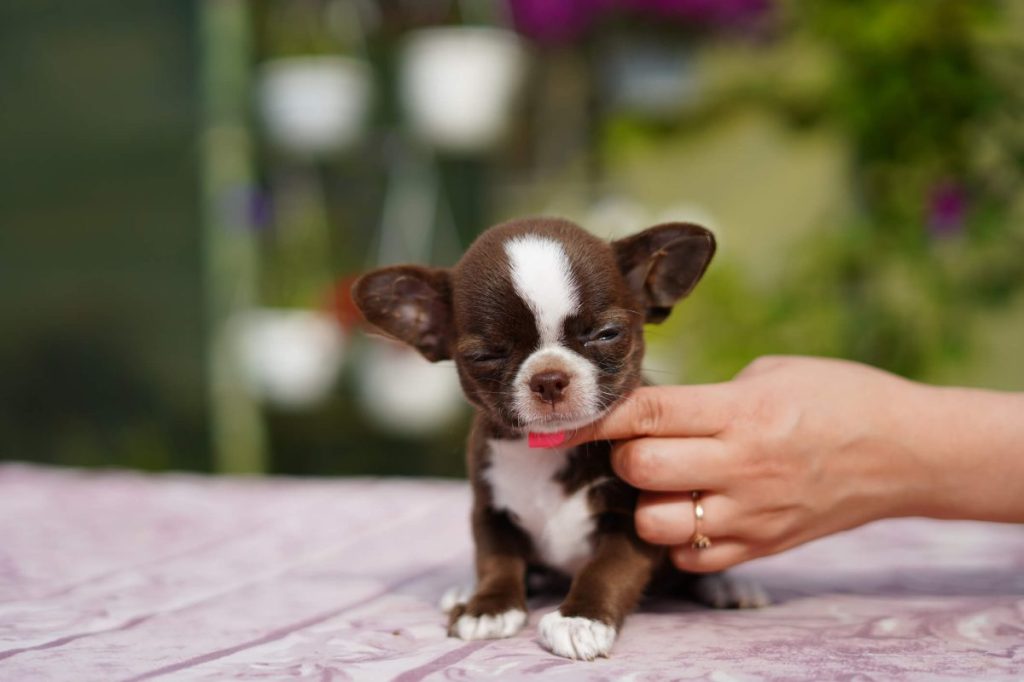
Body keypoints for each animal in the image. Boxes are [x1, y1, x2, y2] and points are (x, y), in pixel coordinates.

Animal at [350, 218, 761, 659]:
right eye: (485, 356)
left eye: (607, 334)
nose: (548, 378)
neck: (550, 449)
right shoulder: (491, 510)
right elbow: (496, 559)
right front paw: (489, 607)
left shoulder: (634, 523)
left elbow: (607, 569)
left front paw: (580, 618)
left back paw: (726, 584)